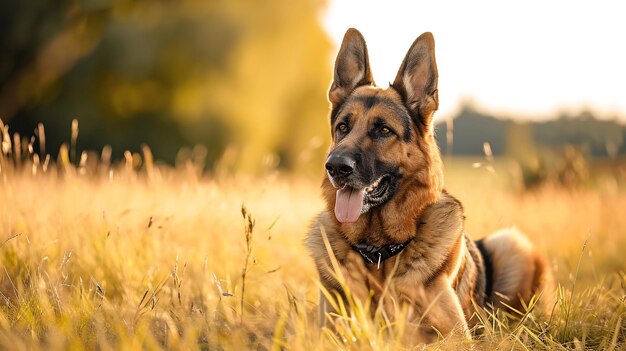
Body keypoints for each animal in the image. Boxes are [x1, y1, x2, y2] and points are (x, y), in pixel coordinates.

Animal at [302, 28, 552, 344]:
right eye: (343, 127)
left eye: (383, 130)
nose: (335, 167)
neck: (379, 253)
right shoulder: (327, 331)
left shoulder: (454, 336)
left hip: (510, 244)